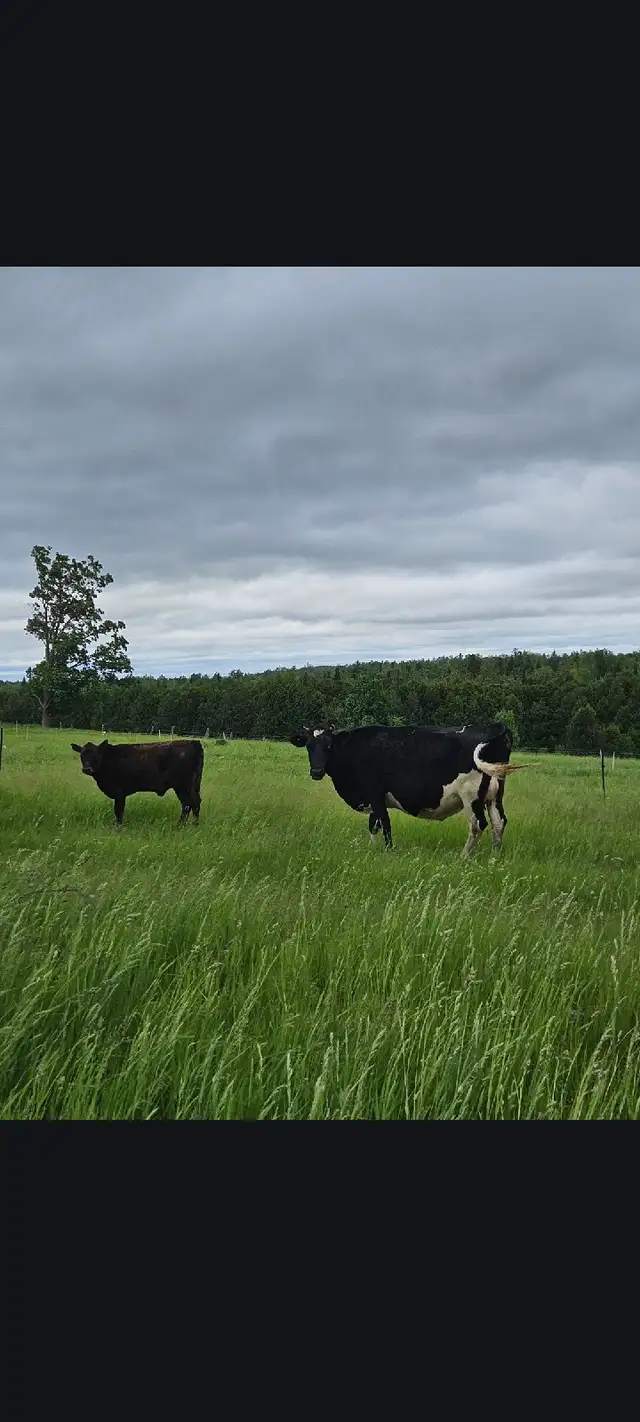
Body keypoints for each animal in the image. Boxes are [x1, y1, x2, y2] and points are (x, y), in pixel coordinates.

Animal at [70, 738, 204, 828]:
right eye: (82, 756)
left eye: (95, 756)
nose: (86, 769)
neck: (108, 759)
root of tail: (193, 742)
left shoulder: (119, 793)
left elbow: (118, 811)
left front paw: (118, 827)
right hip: (192, 786)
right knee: (194, 803)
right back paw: (194, 825)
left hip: (183, 787)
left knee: (189, 804)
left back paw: (181, 826)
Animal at [289, 722, 524, 856]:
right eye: (309, 746)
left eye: (329, 746)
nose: (316, 771)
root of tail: (494, 726)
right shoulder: (375, 799)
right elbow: (373, 826)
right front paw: (372, 850)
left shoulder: (375, 795)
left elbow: (385, 825)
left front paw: (388, 852)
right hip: (494, 794)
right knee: (499, 822)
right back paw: (495, 857)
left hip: (471, 795)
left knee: (478, 824)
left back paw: (464, 857)